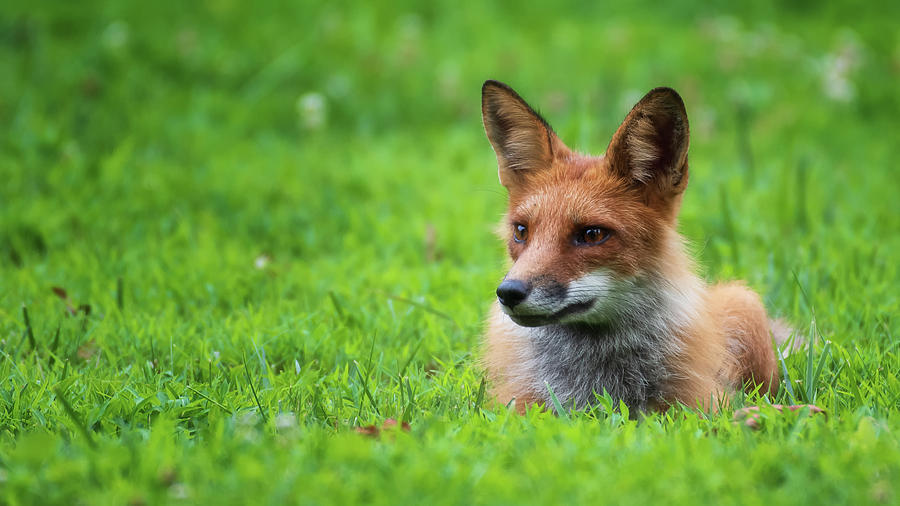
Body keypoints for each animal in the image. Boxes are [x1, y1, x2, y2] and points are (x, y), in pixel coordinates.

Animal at [482, 78, 792, 412]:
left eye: (592, 234)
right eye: (521, 232)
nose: (509, 292)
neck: (597, 384)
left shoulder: (700, 403)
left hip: (745, 304)